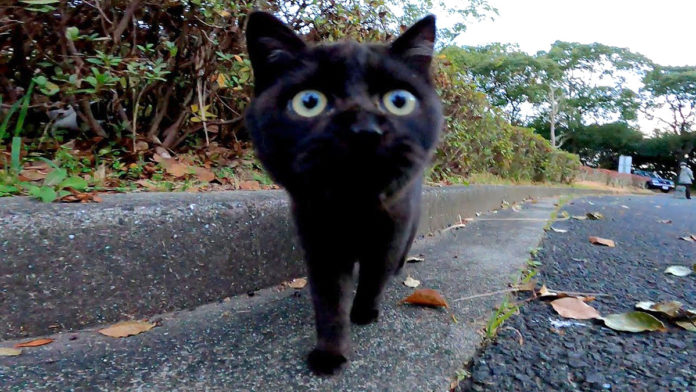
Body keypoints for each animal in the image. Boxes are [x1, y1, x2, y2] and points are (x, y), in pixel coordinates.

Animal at [243, 10, 440, 376]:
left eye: (399, 101)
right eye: (309, 102)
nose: (364, 129)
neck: (354, 207)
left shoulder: (391, 230)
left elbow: (375, 276)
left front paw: (363, 312)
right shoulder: (320, 240)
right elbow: (329, 300)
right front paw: (329, 352)